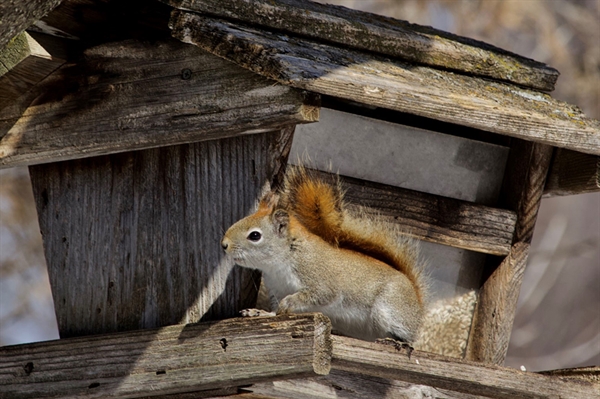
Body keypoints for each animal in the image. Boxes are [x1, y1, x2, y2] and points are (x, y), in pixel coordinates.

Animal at [221, 166, 426, 344]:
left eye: (255, 235)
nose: (224, 245)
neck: (279, 263)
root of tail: (418, 306)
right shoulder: (277, 289)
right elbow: (276, 313)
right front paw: (260, 313)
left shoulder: (319, 278)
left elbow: (322, 295)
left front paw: (289, 302)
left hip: (390, 308)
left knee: (408, 338)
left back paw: (395, 341)